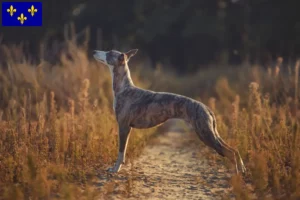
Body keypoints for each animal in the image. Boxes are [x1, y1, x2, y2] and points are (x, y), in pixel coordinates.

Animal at [94, 48, 246, 173]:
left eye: (108, 52)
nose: (94, 51)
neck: (124, 88)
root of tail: (206, 108)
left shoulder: (123, 126)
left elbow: (120, 152)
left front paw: (115, 169)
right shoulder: (127, 128)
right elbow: (123, 152)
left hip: (205, 134)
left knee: (230, 153)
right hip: (211, 133)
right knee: (234, 150)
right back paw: (242, 170)